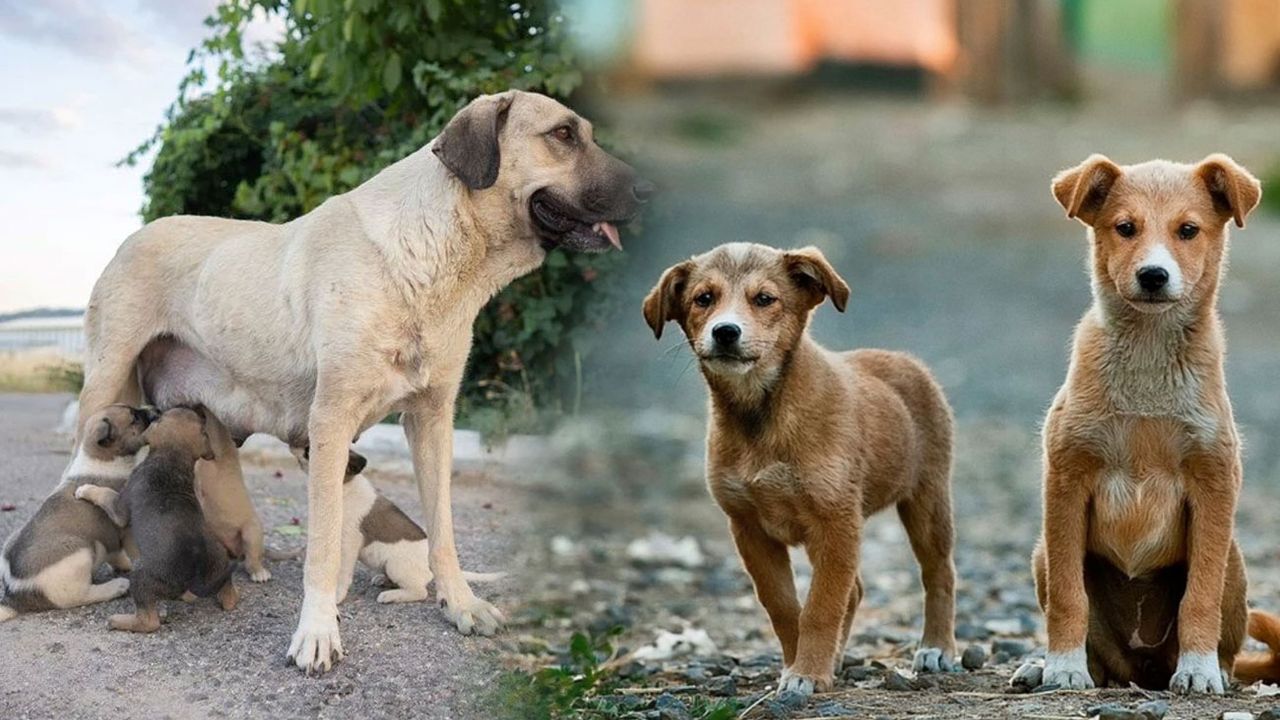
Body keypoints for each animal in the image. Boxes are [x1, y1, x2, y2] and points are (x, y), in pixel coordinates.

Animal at [0, 404, 157, 617]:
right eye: (134, 418)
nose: (156, 411)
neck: (102, 458)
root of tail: (14, 597)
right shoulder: (124, 526)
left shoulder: (109, 537)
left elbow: (115, 553)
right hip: (80, 552)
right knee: (78, 596)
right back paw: (116, 586)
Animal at [78, 407, 240, 630]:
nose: (154, 410)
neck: (172, 457)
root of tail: (194, 572)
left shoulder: (120, 509)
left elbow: (104, 493)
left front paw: (84, 489)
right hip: (220, 563)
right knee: (228, 591)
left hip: (141, 576)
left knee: (149, 621)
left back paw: (119, 621)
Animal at [645, 242, 957, 696]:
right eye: (704, 298)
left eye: (764, 299)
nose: (725, 332)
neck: (761, 416)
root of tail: (904, 360)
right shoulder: (749, 528)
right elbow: (784, 606)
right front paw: (800, 665)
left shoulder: (835, 521)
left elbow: (821, 606)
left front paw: (808, 672)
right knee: (855, 590)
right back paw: (839, 657)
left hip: (927, 499)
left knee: (939, 573)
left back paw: (937, 647)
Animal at [1018, 154, 1259, 691]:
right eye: (1125, 228)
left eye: (1188, 230)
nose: (1153, 275)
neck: (1148, 358)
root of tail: (1141, 668)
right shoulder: (1066, 479)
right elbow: (1068, 596)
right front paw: (1062, 667)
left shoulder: (1214, 482)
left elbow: (1200, 596)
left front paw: (1198, 670)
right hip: (1042, 552)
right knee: (1096, 648)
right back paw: (1049, 666)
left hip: (1234, 560)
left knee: (1224, 635)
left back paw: (1213, 668)